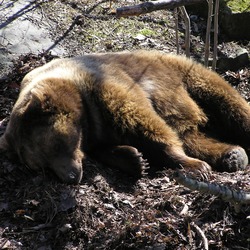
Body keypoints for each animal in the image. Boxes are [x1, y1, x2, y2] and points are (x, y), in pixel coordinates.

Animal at [0, 50, 250, 184]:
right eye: (41, 166)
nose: (71, 176)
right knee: (193, 136)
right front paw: (135, 159)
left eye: (56, 144)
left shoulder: (105, 86)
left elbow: (142, 121)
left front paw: (193, 165)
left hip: (184, 75)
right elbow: (108, 149)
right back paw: (233, 155)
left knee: (227, 102)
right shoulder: (94, 134)